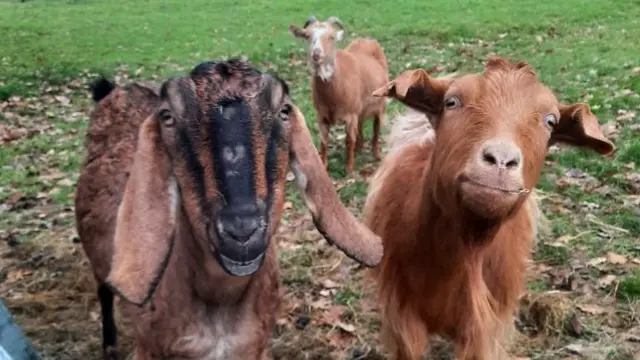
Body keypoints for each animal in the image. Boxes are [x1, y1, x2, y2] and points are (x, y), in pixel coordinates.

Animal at [292, 15, 390, 176]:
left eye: (331, 37)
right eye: (307, 35)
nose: (316, 54)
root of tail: (367, 40)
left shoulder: (350, 115)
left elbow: (349, 140)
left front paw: (349, 168)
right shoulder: (321, 115)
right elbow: (323, 142)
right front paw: (324, 165)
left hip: (380, 103)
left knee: (376, 128)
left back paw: (376, 155)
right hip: (360, 108)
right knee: (361, 125)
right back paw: (360, 148)